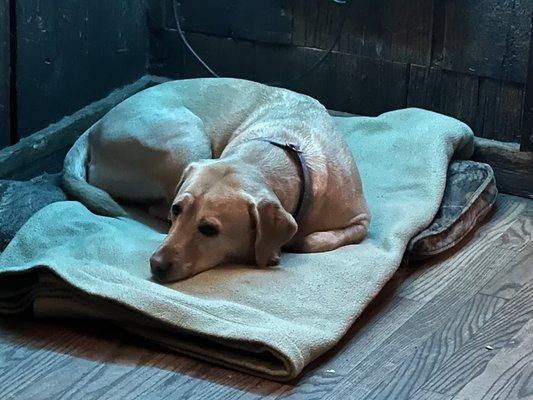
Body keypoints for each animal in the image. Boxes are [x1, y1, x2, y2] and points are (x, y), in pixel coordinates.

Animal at [63, 78, 370, 282]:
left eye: (209, 229)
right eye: (178, 210)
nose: (156, 264)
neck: (286, 149)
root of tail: (94, 128)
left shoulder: (362, 221)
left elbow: (316, 240)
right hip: (188, 137)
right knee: (155, 207)